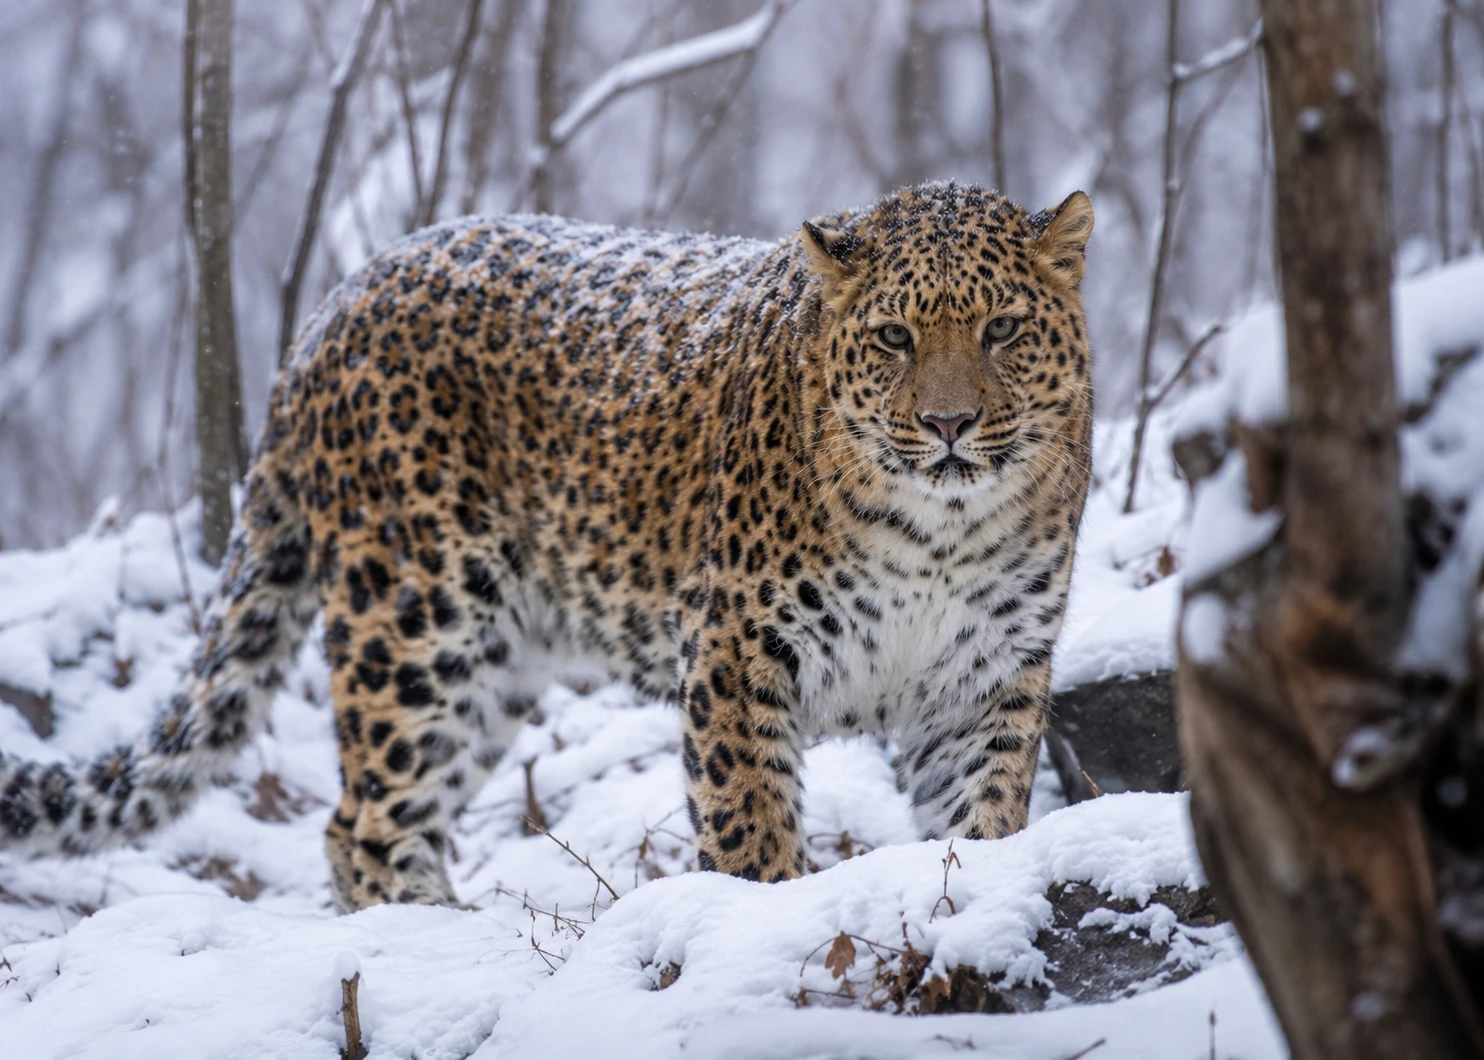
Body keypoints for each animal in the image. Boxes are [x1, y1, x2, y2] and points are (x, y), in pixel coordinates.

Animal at [0, 181, 1095, 912]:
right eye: (893, 338)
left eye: (1002, 329)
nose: (949, 424)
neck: (941, 536)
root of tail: (332, 308)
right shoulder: (738, 653)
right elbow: (750, 825)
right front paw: (766, 921)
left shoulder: (983, 675)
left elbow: (981, 817)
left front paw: (965, 907)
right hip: (416, 617)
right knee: (364, 820)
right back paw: (431, 945)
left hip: (496, 660)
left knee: (390, 813)